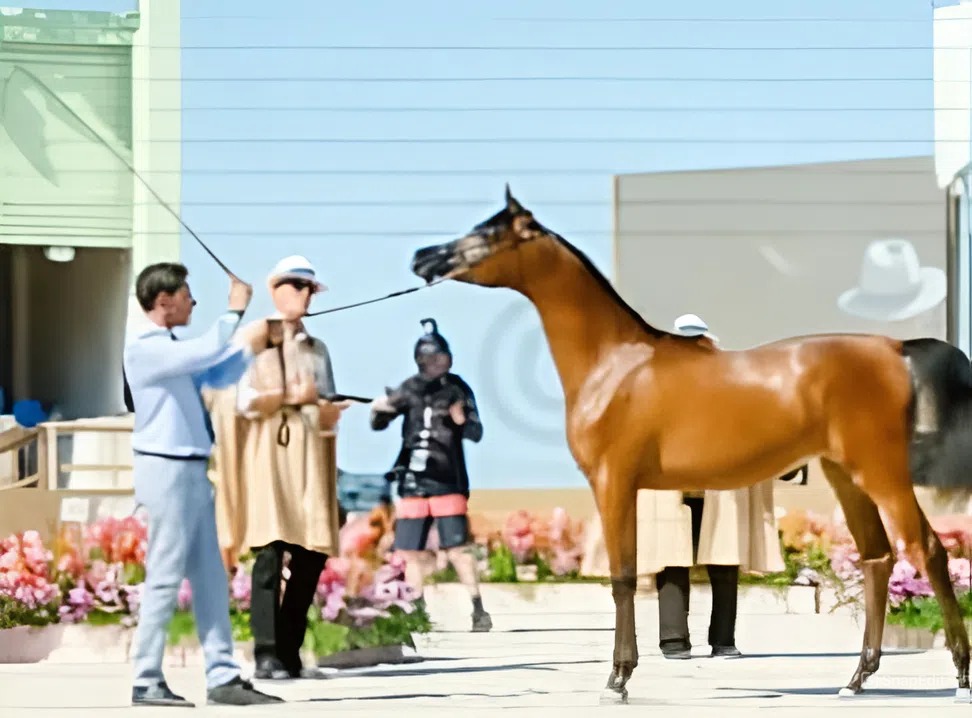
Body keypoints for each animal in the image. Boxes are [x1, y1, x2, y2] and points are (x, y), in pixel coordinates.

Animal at [408, 185, 972, 703]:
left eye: (486, 234)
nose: (422, 257)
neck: (615, 363)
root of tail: (895, 347)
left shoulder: (614, 482)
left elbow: (621, 577)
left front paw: (617, 680)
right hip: (846, 474)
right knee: (877, 557)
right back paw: (856, 679)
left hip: (881, 473)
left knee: (928, 551)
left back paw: (960, 677)